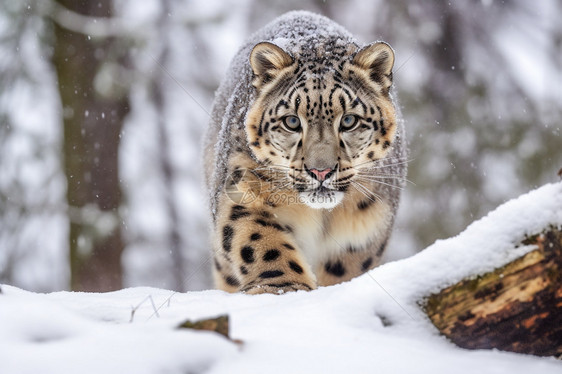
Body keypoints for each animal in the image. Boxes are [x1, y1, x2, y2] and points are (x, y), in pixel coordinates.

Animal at [203, 10, 404, 294]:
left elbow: (346, 267)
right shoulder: (241, 185)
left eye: (349, 120)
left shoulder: (367, 224)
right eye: (292, 121)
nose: (321, 171)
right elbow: (259, 239)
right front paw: (282, 287)